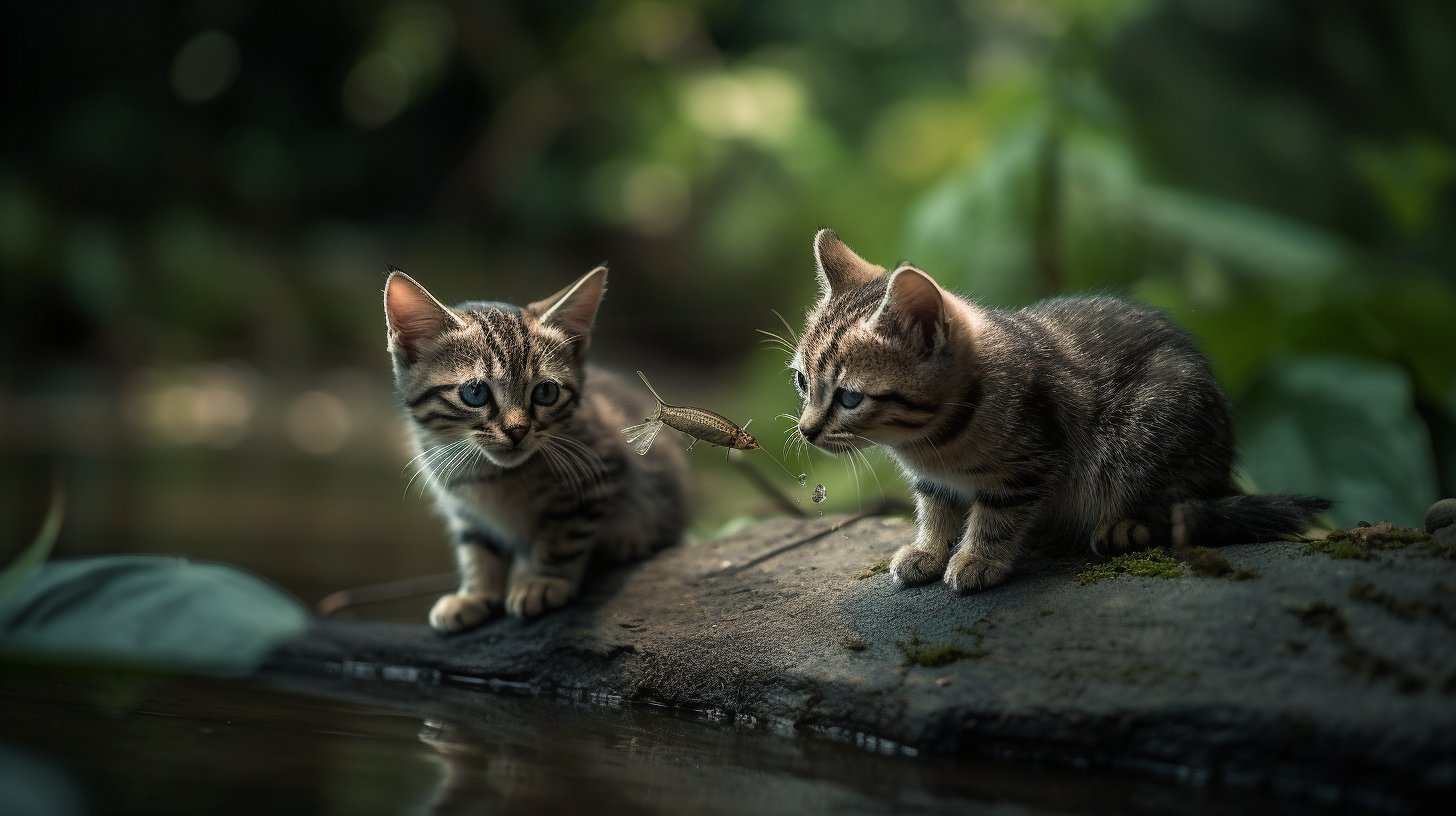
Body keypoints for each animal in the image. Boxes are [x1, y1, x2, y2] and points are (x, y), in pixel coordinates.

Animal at [381, 265, 687, 635]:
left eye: (545, 393)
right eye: (475, 392)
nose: (517, 430)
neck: (494, 475)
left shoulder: (596, 472)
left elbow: (565, 534)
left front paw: (542, 581)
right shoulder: (464, 507)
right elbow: (477, 546)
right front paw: (474, 595)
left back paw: (629, 540)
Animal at [786, 230, 1333, 591]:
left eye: (849, 398)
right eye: (801, 381)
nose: (807, 431)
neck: (930, 442)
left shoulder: (1029, 462)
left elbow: (997, 516)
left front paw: (978, 559)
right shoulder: (935, 481)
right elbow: (937, 506)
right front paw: (927, 550)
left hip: (1146, 441)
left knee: (1179, 509)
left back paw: (1124, 527)